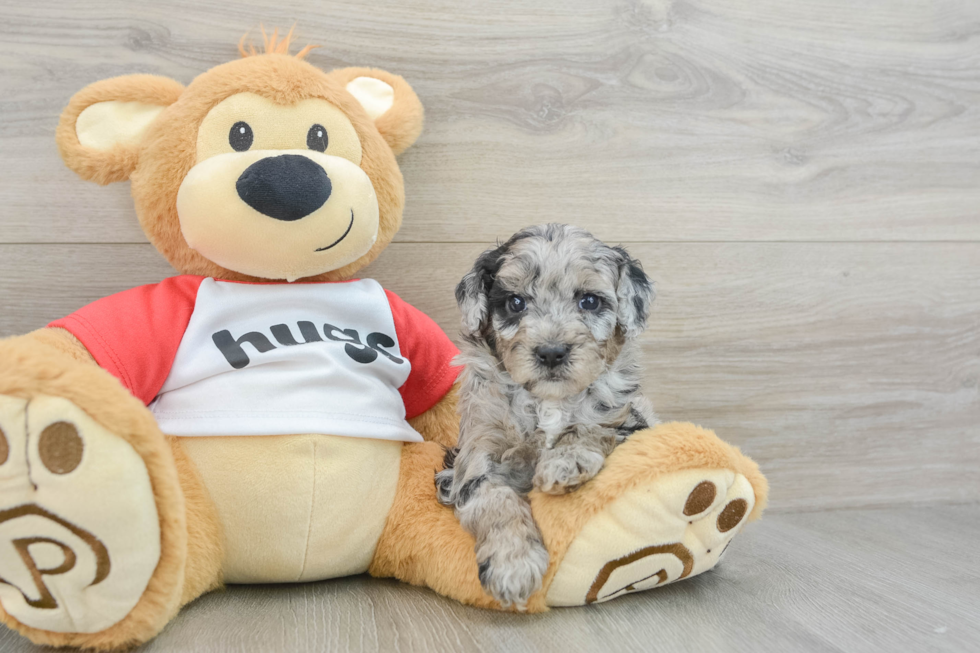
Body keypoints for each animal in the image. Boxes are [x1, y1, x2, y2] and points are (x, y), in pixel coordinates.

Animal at [438, 223, 660, 608]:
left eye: (589, 301)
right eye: (515, 302)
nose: (552, 352)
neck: (547, 400)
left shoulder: (629, 421)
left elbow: (590, 428)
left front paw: (564, 463)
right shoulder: (478, 451)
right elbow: (496, 499)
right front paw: (513, 565)